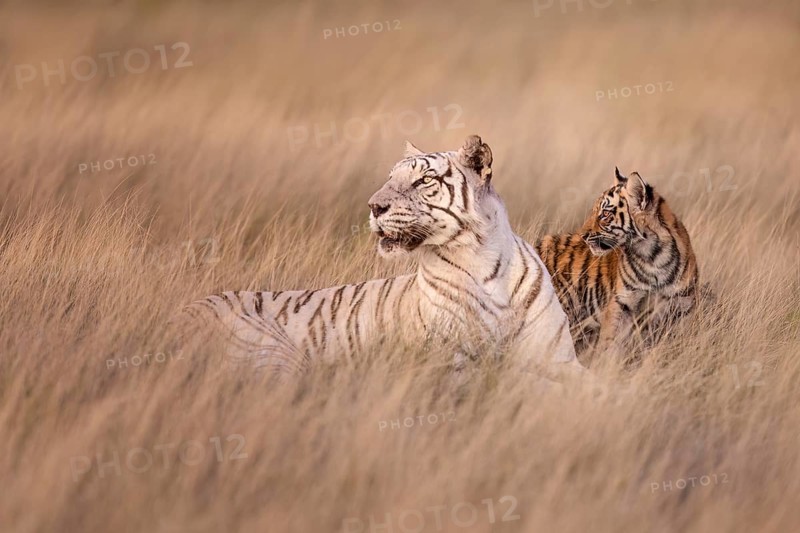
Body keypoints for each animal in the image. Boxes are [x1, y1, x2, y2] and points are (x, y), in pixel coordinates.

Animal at [183, 135, 585, 382]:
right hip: (274, 354)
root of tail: (182, 313)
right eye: (390, 178)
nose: (374, 206)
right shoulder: (456, 362)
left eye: (424, 180)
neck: (486, 264)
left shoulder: (559, 358)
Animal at [535, 167, 699, 360]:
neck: (652, 257)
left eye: (605, 214)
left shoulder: (681, 306)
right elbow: (610, 341)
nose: (582, 235)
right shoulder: (622, 303)